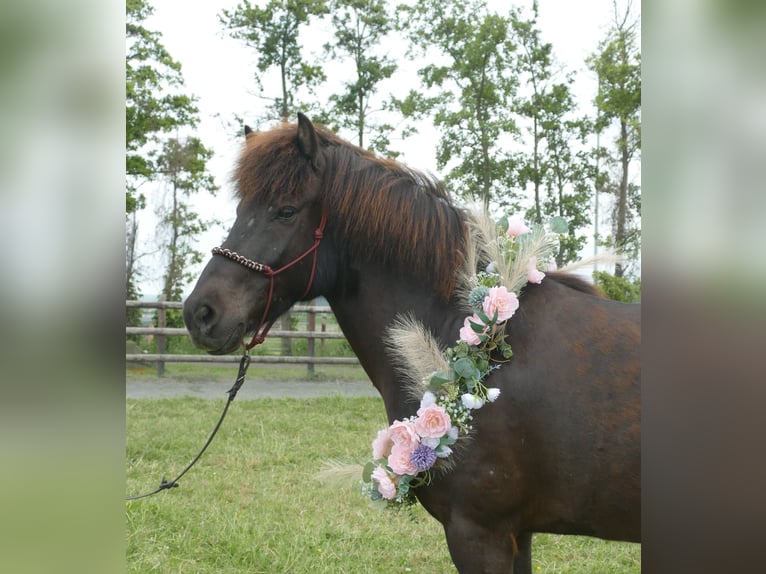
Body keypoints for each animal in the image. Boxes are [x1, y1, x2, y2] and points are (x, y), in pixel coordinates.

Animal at [183, 114, 640, 573]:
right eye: (240, 210)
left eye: (286, 210)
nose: (199, 313)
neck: (486, 346)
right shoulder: (518, 534)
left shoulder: (481, 534)